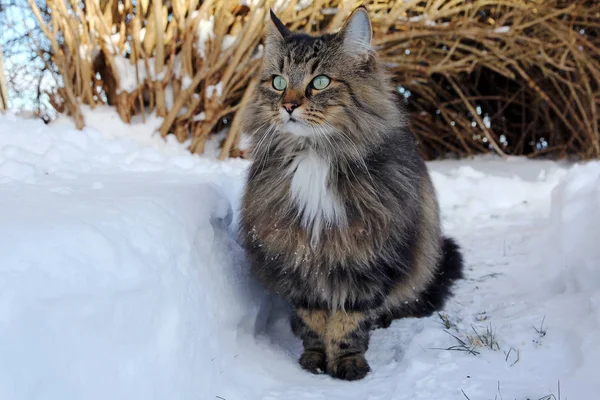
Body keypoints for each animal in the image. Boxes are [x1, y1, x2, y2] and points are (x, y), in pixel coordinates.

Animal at [239, 7, 464, 382]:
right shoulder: (298, 254)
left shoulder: (368, 256)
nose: (288, 105)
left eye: (320, 82)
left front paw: (348, 363)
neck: (314, 155)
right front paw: (314, 360)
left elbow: (349, 320)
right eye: (278, 82)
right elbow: (314, 318)